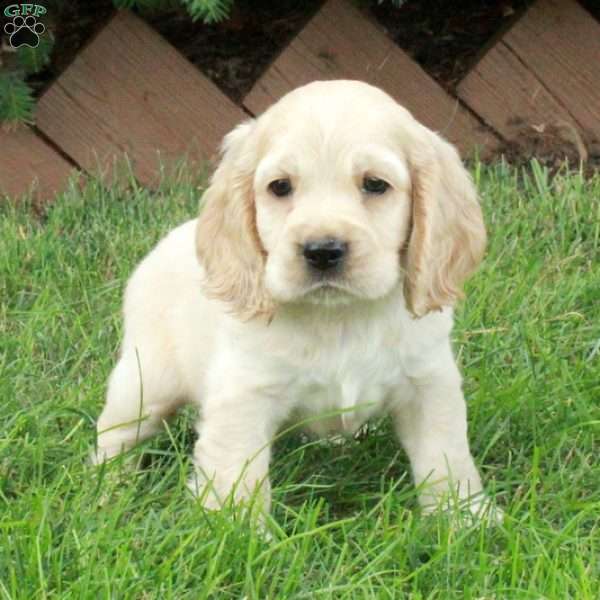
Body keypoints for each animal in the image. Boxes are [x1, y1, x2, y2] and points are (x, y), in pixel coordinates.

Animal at [95, 79, 496, 516]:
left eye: (375, 184)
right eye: (280, 187)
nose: (322, 251)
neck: (339, 318)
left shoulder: (429, 382)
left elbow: (446, 456)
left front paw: (466, 517)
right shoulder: (244, 395)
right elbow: (238, 474)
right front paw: (239, 527)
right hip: (145, 381)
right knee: (115, 434)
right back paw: (109, 490)